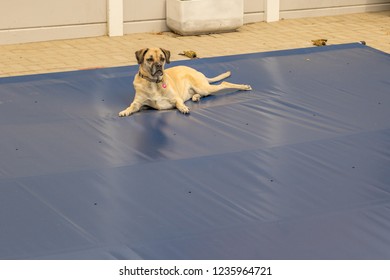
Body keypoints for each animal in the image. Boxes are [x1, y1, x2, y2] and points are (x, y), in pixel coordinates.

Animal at [119, 47, 251, 116]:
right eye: (149, 59)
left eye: (162, 58)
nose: (159, 66)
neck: (153, 83)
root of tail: (197, 71)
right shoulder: (138, 103)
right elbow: (132, 106)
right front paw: (125, 111)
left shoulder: (176, 98)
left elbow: (179, 104)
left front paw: (183, 108)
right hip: (202, 89)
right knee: (204, 94)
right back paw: (196, 97)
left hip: (204, 87)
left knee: (224, 84)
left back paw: (244, 87)